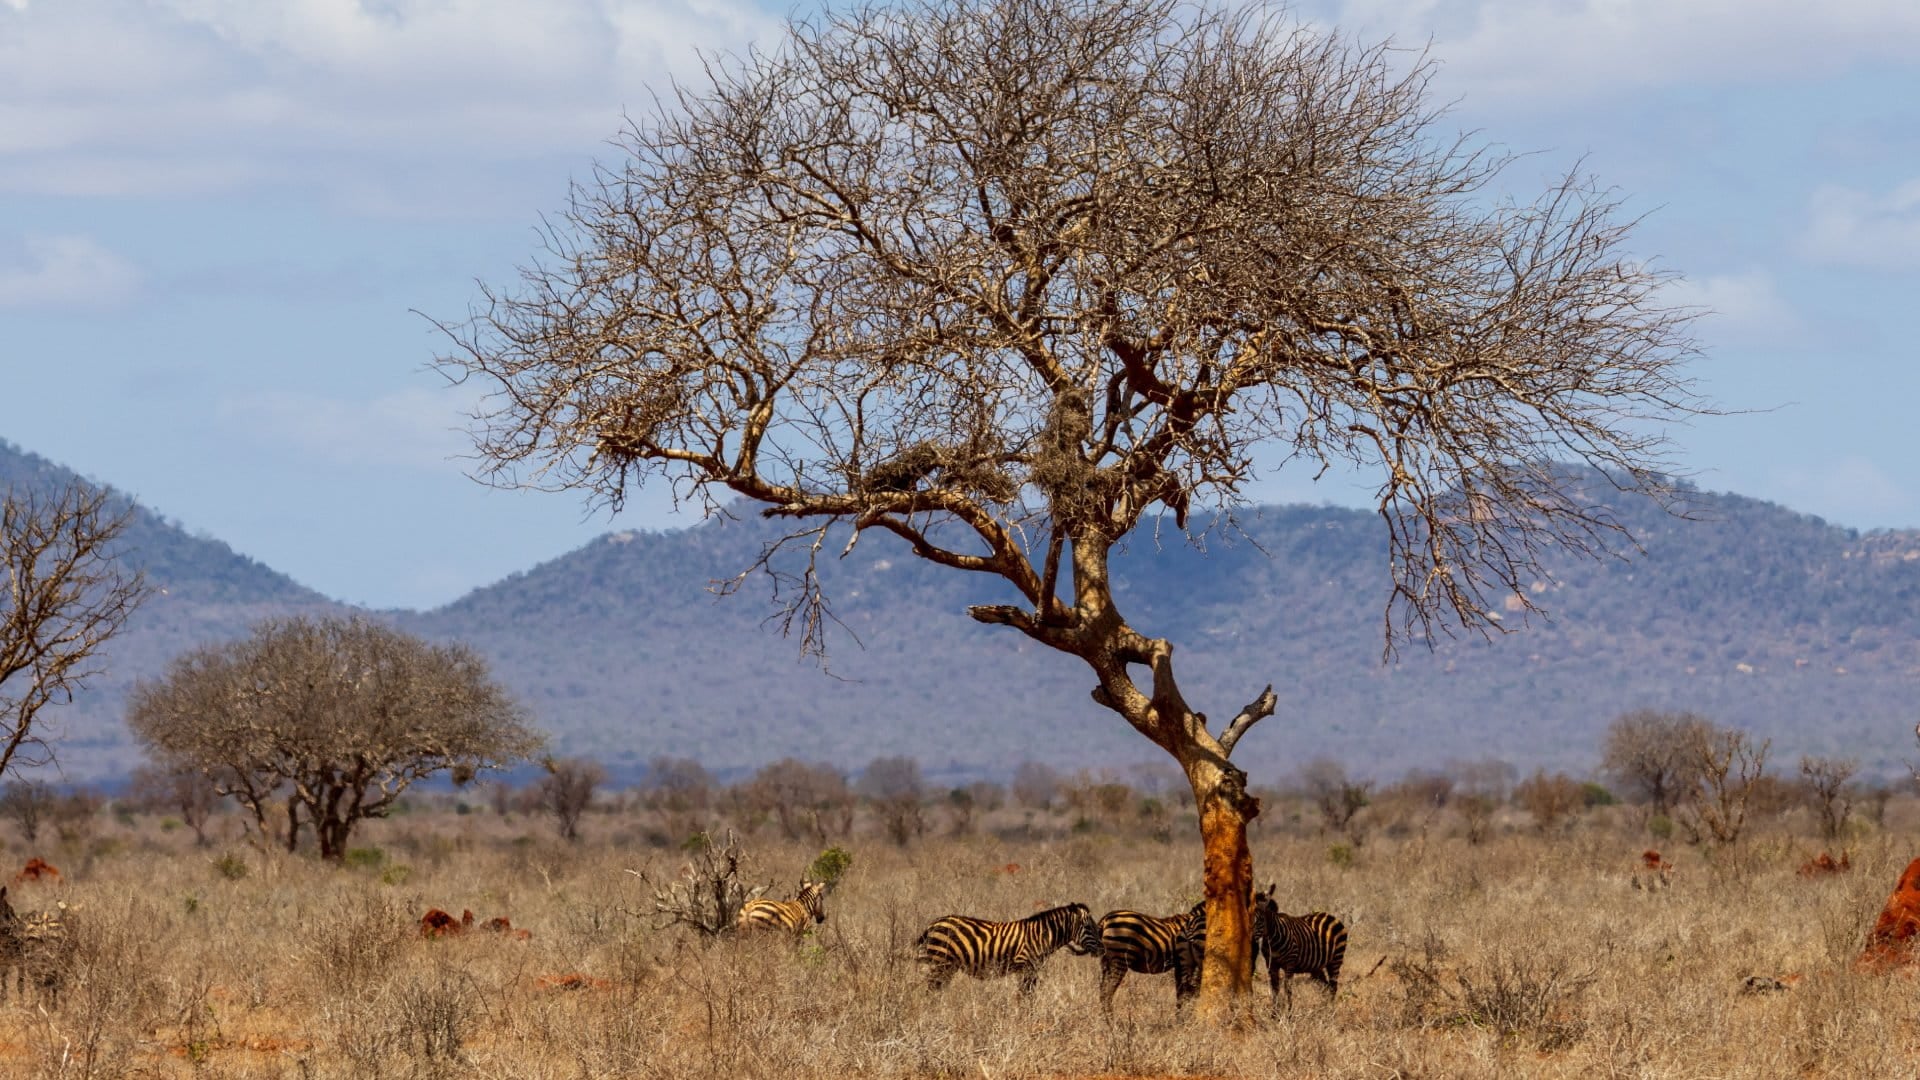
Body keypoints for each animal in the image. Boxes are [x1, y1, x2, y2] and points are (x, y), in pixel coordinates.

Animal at [915, 903, 1094, 994]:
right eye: (1088, 927)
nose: (1100, 948)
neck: (1041, 935)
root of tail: (933, 924)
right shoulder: (1027, 967)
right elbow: (1025, 995)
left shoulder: (1032, 970)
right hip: (941, 962)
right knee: (931, 990)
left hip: (947, 966)